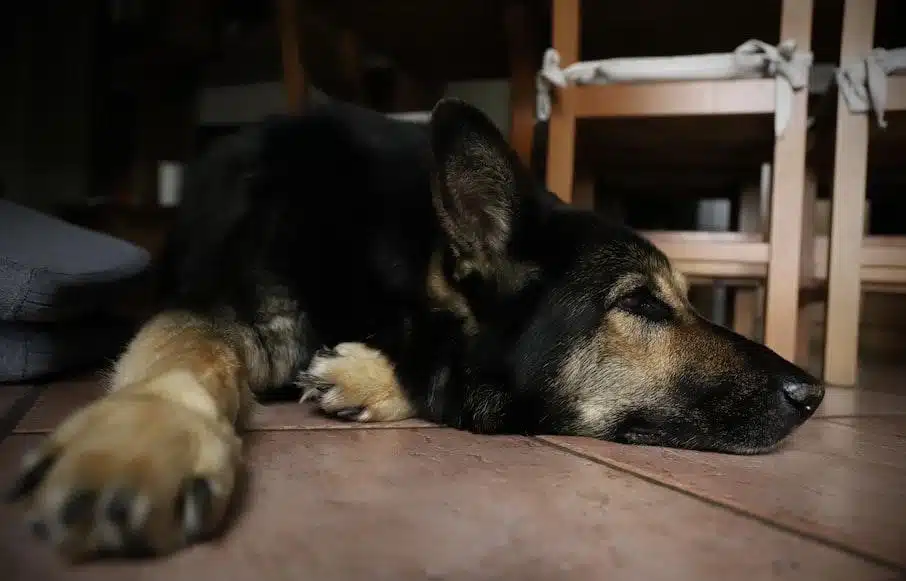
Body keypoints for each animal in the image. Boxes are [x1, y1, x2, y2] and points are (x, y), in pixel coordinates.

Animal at [8, 98, 828, 556]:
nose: (815, 392)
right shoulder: (218, 303)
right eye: (644, 305)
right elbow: (188, 348)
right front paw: (142, 435)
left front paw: (362, 376)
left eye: (683, 300)